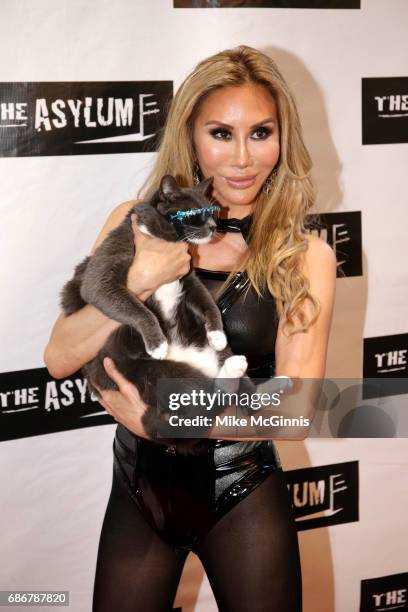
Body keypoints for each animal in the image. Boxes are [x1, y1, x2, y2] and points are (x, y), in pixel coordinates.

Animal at [60, 175, 270, 452]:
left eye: (212, 211)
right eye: (194, 213)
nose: (214, 226)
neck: (165, 240)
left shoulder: (189, 277)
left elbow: (207, 302)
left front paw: (217, 334)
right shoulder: (102, 277)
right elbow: (133, 306)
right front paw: (157, 343)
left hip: (211, 356)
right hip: (156, 373)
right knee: (202, 404)